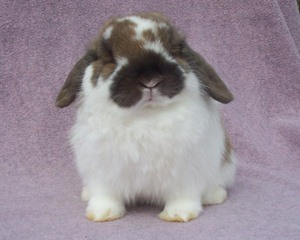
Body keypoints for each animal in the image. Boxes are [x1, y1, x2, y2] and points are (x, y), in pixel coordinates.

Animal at [55, 12, 236, 223]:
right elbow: (106, 194)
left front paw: (178, 214)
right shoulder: (102, 170)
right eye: (110, 59)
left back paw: (215, 195)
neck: (146, 114)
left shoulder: (186, 171)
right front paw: (103, 213)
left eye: (174, 50)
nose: (150, 79)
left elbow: (182, 194)